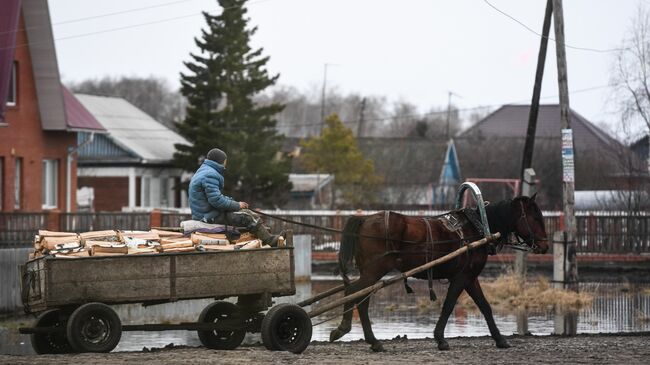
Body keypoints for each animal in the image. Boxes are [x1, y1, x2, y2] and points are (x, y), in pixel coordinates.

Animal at [330, 195, 548, 352]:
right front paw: (440, 339)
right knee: (358, 295)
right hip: (373, 271)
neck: (477, 229)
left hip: (370, 272)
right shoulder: (462, 277)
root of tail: (365, 218)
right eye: (536, 218)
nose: (545, 246)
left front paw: (500, 339)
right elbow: (449, 305)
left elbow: (485, 306)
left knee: (353, 291)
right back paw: (369, 339)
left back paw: (347, 330)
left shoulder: (470, 278)